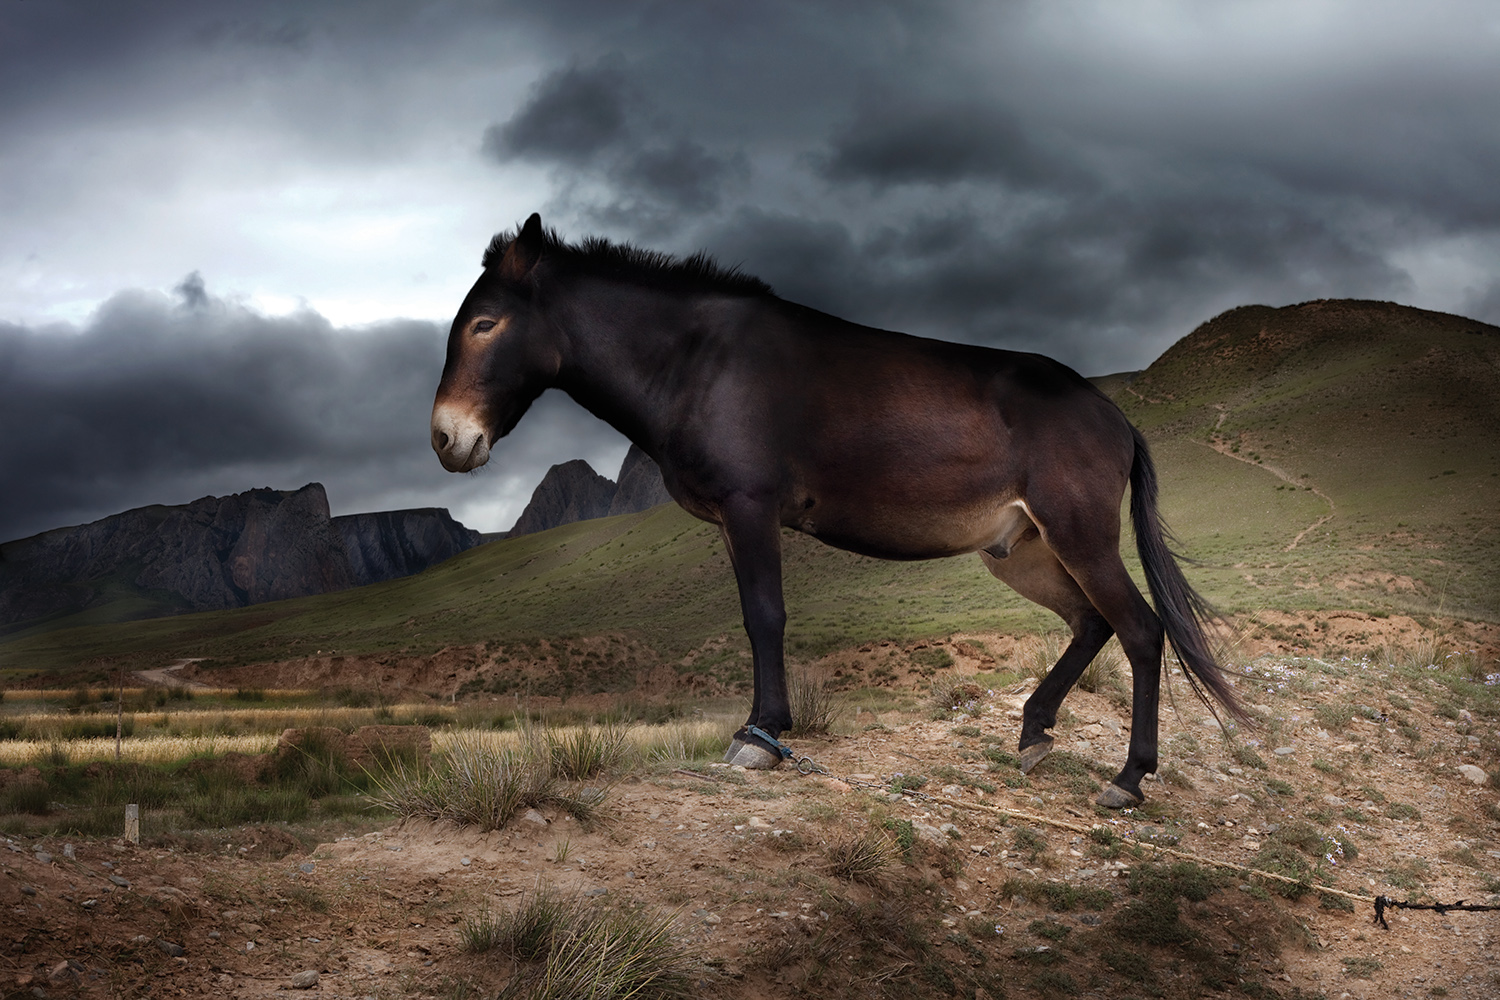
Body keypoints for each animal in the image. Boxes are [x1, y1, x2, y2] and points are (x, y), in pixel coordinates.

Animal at [432, 215, 1242, 809]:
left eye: (484, 324)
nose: (445, 439)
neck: (698, 361)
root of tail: (1113, 417)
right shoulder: (734, 522)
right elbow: (755, 618)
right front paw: (762, 730)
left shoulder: (750, 507)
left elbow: (765, 616)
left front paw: (760, 738)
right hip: (1024, 550)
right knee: (1090, 624)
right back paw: (1036, 734)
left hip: (1078, 535)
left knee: (1139, 630)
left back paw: (1129, 779)